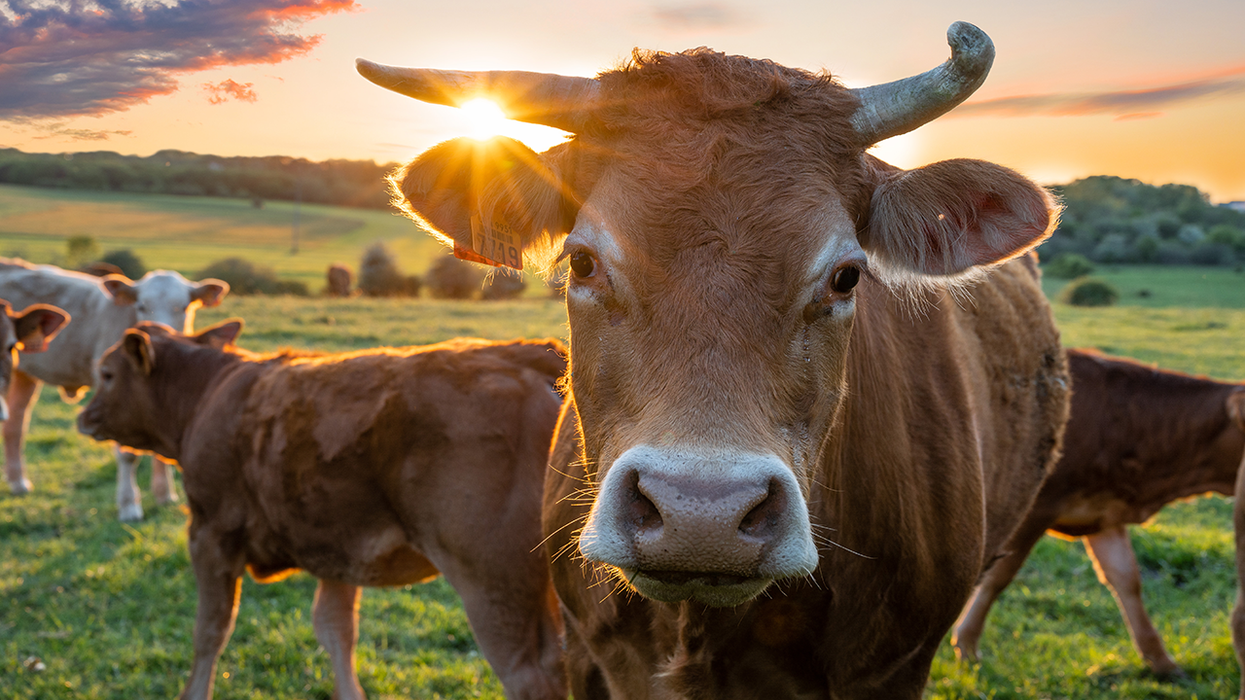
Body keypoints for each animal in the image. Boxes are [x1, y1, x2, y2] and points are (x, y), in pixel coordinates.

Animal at [0, 259, 228, 520]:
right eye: (141, 305)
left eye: (184, 307)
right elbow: (127, 454)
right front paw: (129, 505)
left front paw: (164, 495)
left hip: (23, 374)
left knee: (14, 425)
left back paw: (18, 482)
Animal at [77, 322, 569, 700]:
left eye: (106, 373)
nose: (83, 415)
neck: (207, 395)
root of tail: (526, 355)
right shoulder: (337, 547)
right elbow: (336, 631)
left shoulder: (210, 534)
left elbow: (210, 631)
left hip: (494, 583)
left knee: (535, 678)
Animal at [952, 348, 1245, 680]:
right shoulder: (1034, 510)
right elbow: (998, 577)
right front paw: (967, 644)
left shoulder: (1103, 514)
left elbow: (1127, 580)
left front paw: (1161, 661)